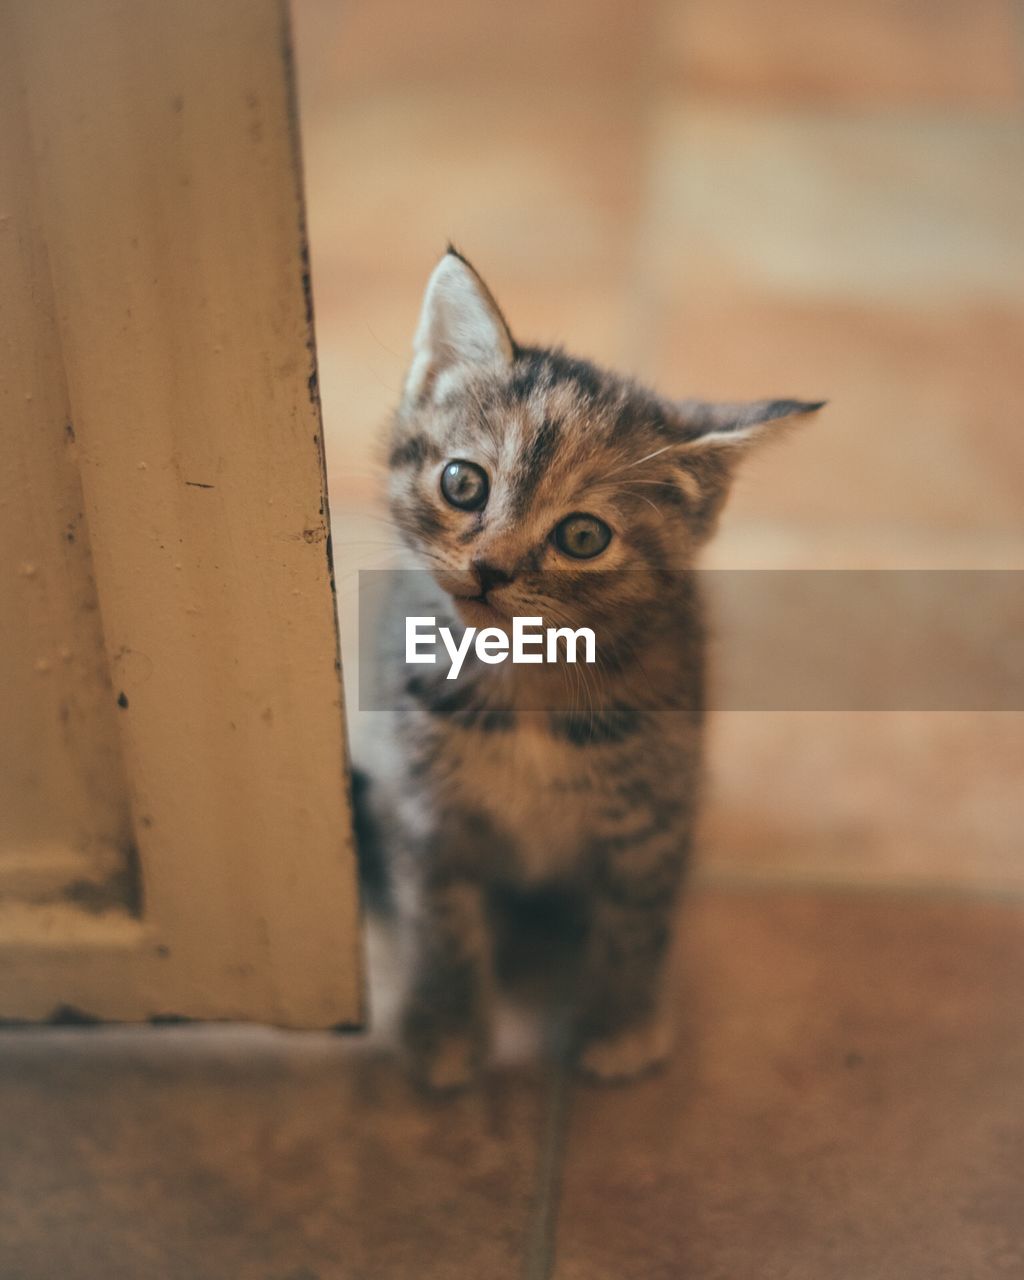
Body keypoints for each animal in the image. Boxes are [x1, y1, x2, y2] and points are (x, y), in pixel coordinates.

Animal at [355, 249, 819, 1090]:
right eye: (463, 483)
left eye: (581, 536)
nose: (490, 569)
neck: (527, 680)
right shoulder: (423, 803)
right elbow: (440, 916)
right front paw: (446, 1028)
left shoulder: (655, 805)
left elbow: (634, 920)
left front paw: (618, 1025)